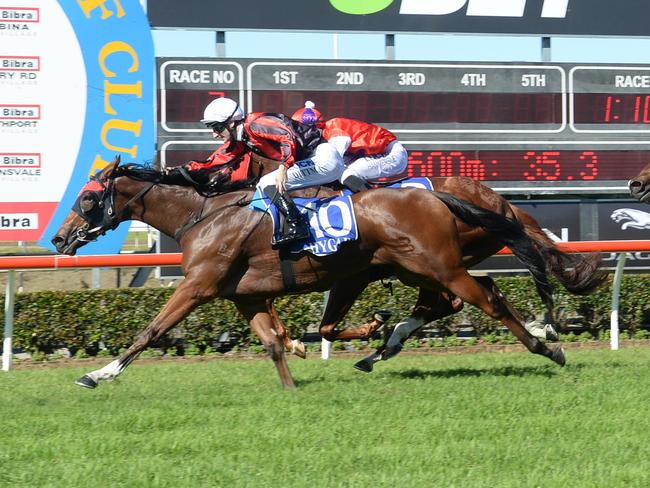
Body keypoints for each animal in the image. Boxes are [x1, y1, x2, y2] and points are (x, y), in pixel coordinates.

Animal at [53, 156, 568, 388]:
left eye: (87, 198)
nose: (59, 240)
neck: (204, 215)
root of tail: (439, 195)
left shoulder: (199, 286)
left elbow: (151, 330)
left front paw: (99, 373)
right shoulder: (245, 295)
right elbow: (273, 341)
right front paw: (290, 385)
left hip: (436, 265)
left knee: (488, 300)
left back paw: (547, 346)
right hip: (419, 268)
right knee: (463, 295)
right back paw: (380, 347)